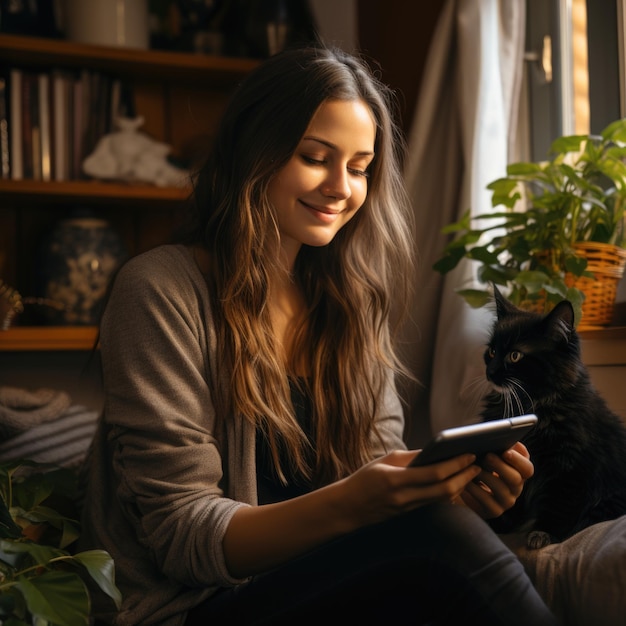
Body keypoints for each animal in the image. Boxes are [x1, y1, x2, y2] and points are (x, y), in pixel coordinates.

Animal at [480, 288, 624, 544]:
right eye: (492, 352)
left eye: (515, 356)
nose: (490, 371)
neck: (533, 404)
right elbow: (515, 500)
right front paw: (501, 523)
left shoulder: (571, 467)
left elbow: (559, 505)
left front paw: (543, 533)